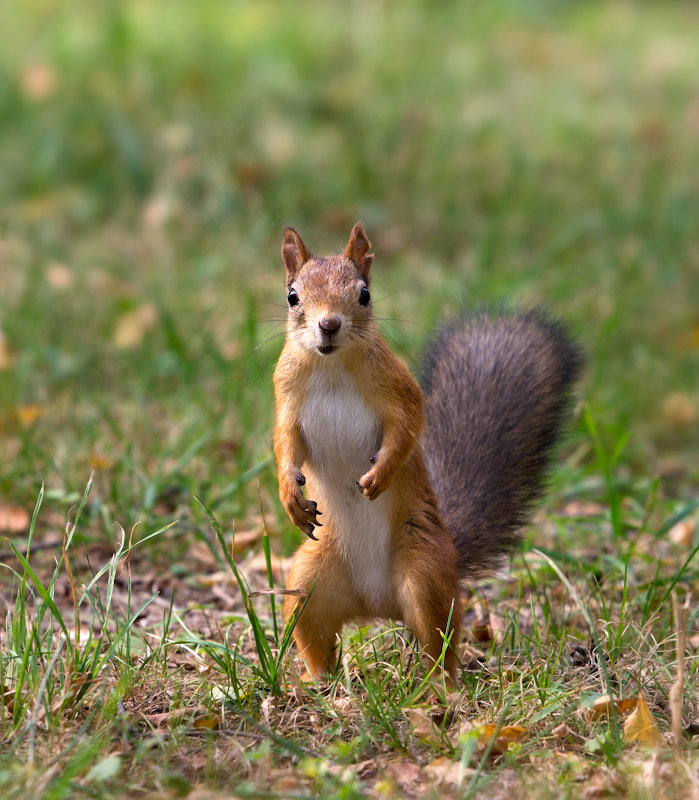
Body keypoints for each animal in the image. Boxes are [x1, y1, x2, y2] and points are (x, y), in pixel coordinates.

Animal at [276, 223, 584, 680]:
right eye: (293, 296)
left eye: (364, 293)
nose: (328, 324)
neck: (331, 366)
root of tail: (376, 604)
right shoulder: (287, 399)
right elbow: (285, 444)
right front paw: (289, 496)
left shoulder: (399, 389)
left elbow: (407, 429)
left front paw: (380, 476)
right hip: (309, 581)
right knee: (313, 633)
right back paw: (318, 683)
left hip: (424, 571)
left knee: (438, 639)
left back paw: (438, 684)